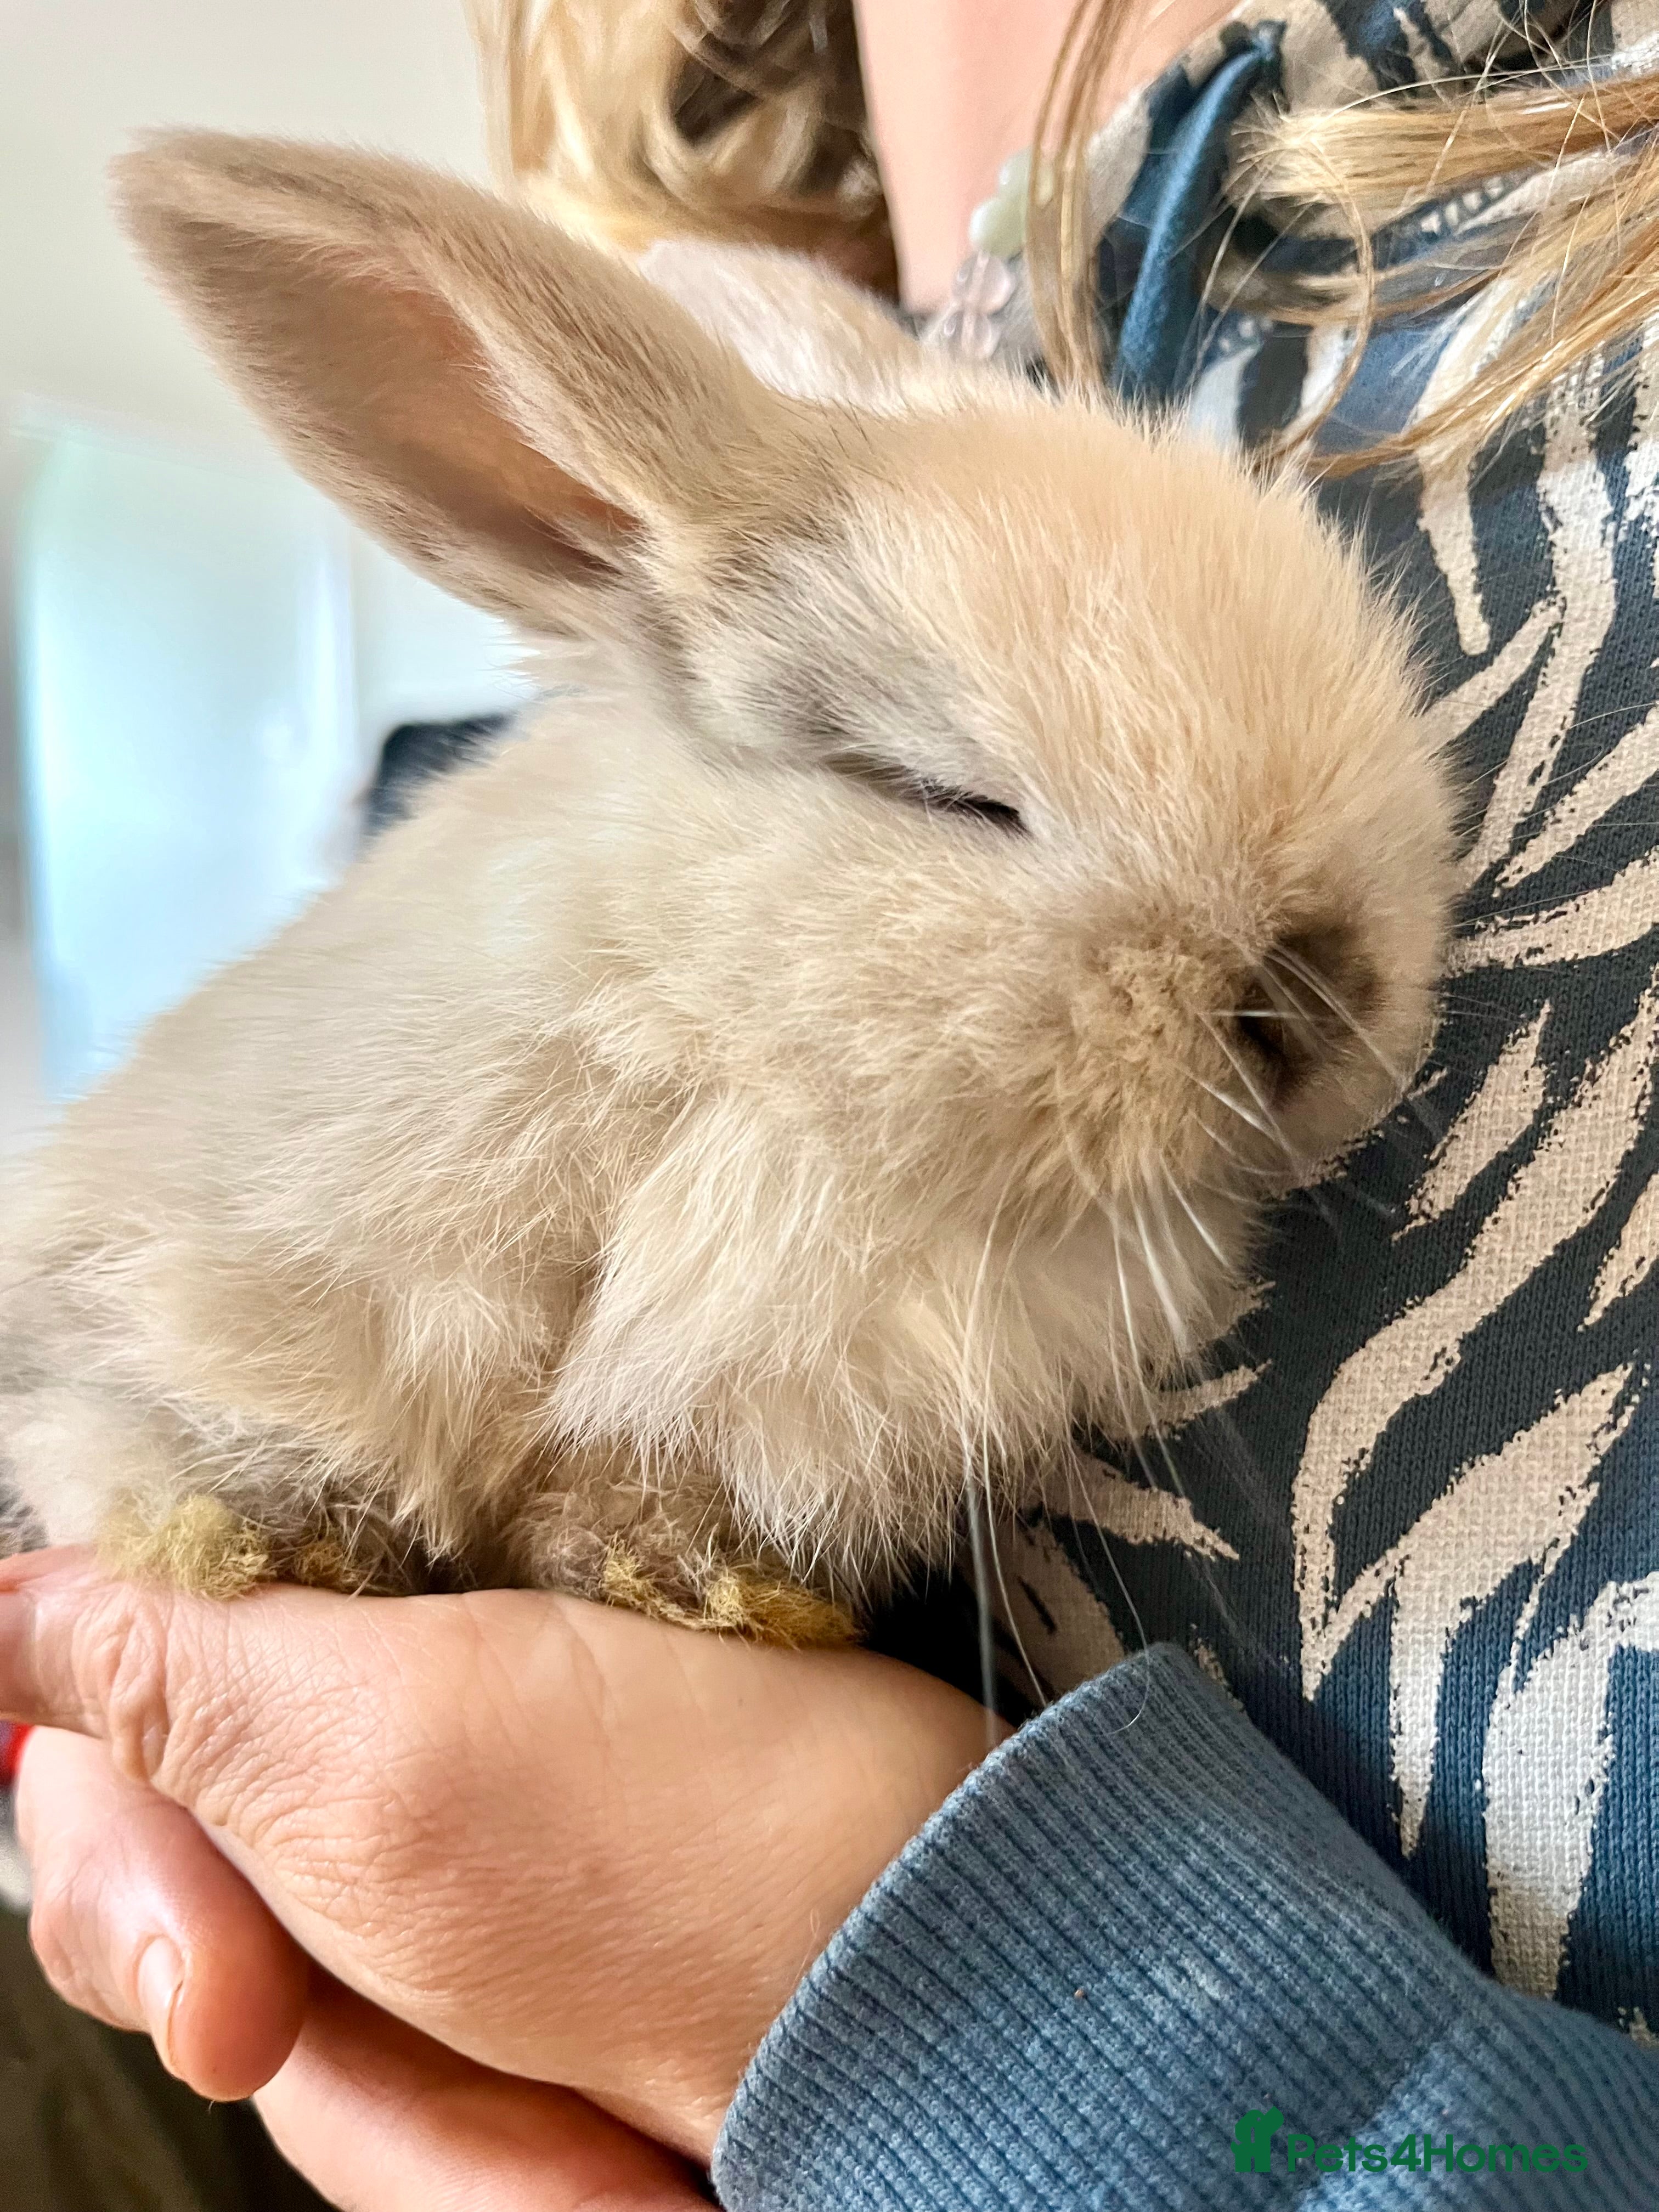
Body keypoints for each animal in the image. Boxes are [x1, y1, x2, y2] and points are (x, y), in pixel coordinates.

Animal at [0, 131, 1454, 1643]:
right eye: (951, 795)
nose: (1320, 996)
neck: (731, 1039)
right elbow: (145, 1431)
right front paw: (272, 1545)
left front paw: (699, 1587)